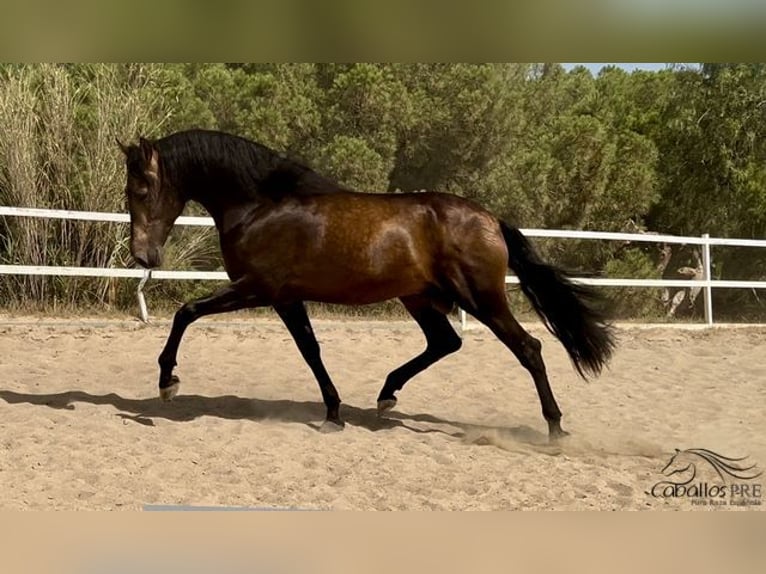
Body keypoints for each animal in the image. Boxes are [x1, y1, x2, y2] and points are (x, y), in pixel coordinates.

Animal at [115, 130, 616, 444]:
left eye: (140, 190)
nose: (144, 257)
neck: (262, 205)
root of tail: (491, 219)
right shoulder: (286, 298)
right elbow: (311, 350)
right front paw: (334, 414)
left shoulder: (258, 287)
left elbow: (187, 312)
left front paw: (167, 382)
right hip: (419, 297)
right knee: (445, 342)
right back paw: (386, 395)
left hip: (482, 299)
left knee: (528, 348)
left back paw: (555, 429)